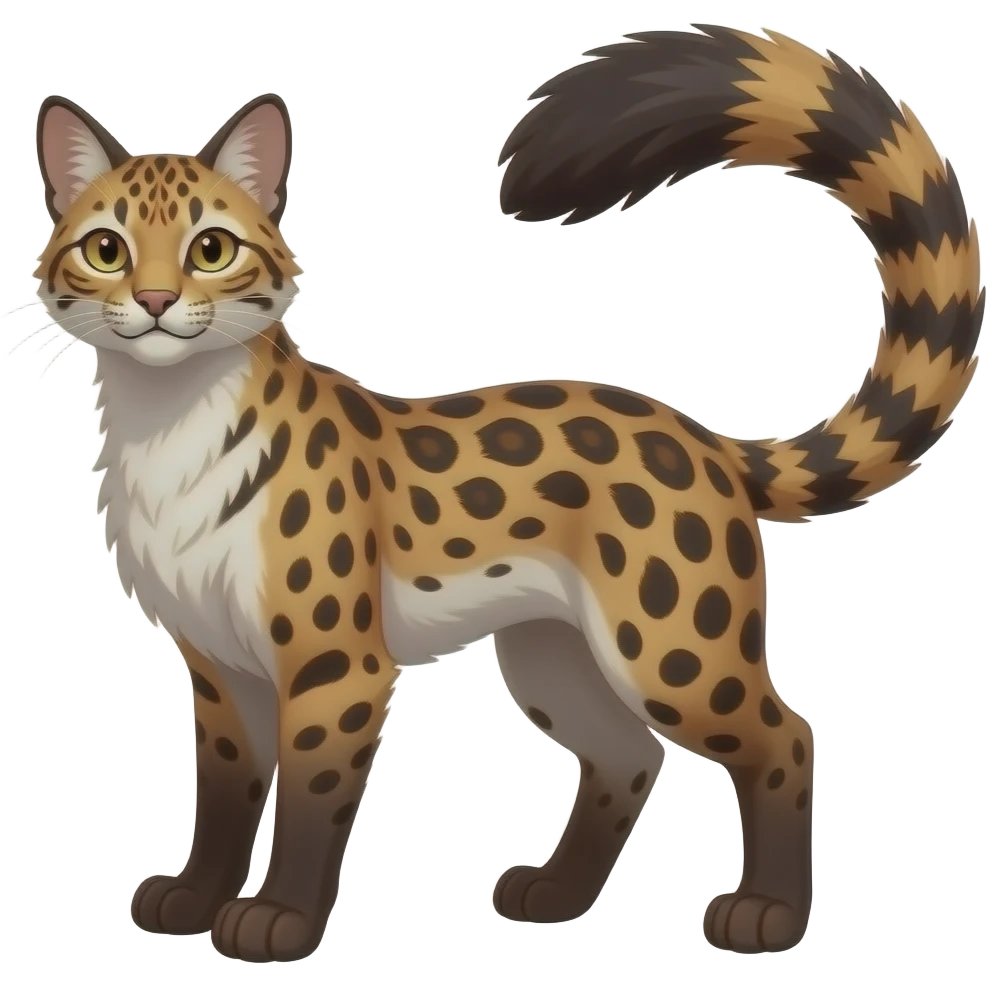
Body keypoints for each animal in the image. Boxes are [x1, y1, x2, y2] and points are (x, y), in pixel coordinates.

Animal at [24, 25, 983, 963]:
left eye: (210, 249)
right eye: (106, 249)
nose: (154, 299)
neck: (167, 430)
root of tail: (701, 435)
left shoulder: (335, 666)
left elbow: (307, 800)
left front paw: (280, 920)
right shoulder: (218, 665)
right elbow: (223, 793)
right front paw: (194, 896)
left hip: (671, 649)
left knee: (783, 738)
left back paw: (768, 913)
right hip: (552, 655)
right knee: (627, 754)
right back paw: (556, 895)